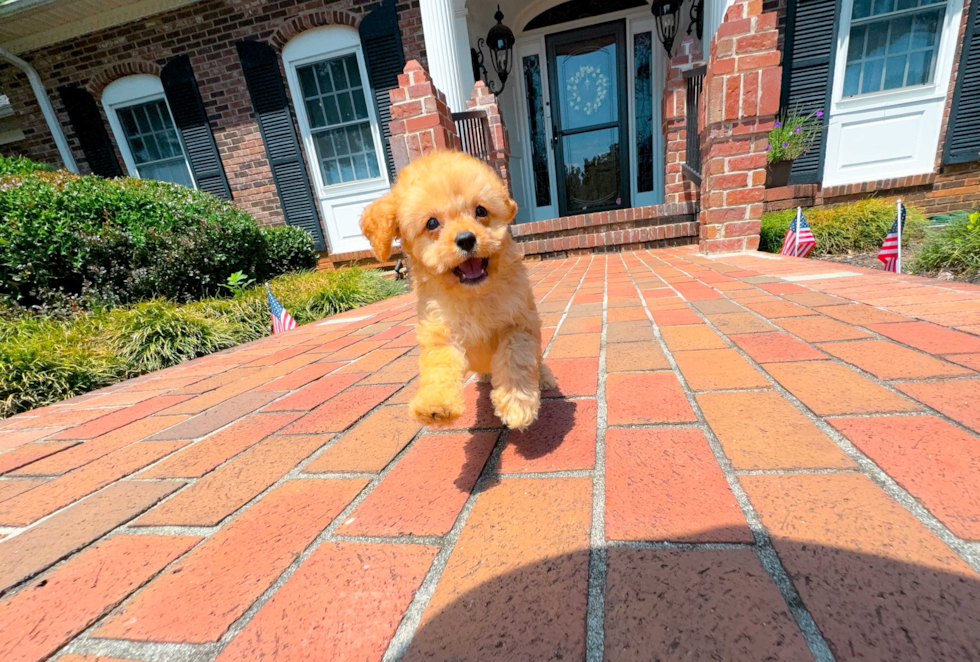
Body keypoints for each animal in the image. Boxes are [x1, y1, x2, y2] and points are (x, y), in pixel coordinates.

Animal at [362, 150, 560, 430]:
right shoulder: (439, 330)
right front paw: (436, 404)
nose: (466, 239)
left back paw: (543, 378)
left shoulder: (520, 322)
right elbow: (440, 364)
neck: (472, 295)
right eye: (432, 223)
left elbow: (515, 357)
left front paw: (517, 405)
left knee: (536, 362)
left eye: (481, 210)